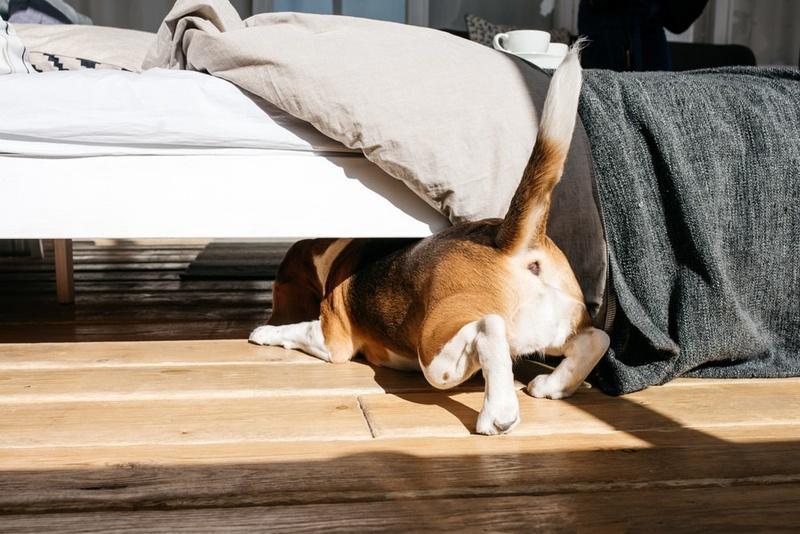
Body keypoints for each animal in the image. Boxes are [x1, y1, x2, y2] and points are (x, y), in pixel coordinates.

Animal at [250, 47, 608, 436]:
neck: (334, 250)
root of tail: (505, 241)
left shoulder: (332, 340)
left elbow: (294, 330)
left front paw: (264, 331)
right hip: (559, 321)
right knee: (596, 339)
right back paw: (554, 385)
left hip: (435, 351)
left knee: (490, 329)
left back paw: (497, 413)